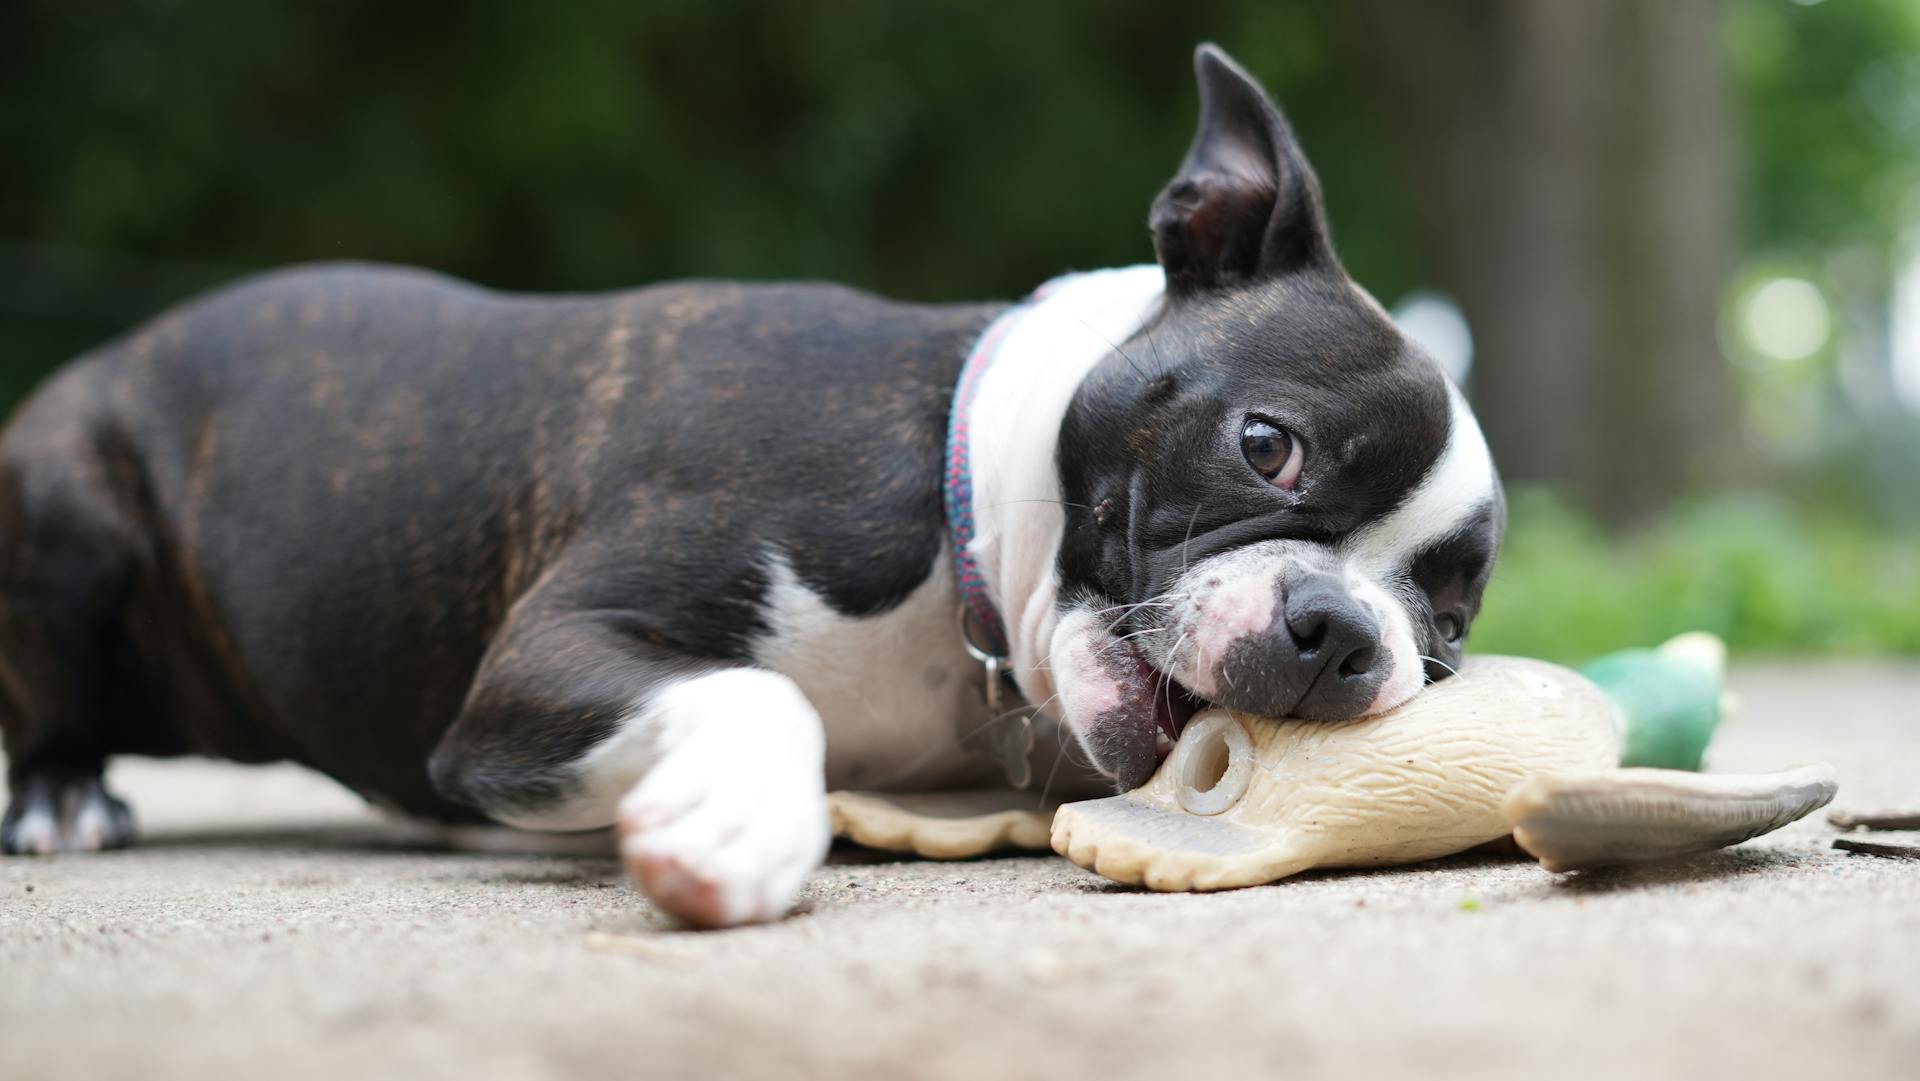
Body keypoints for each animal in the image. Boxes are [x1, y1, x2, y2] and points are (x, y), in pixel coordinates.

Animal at [0, 46, 1497, 925]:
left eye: (1447, 622)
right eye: (1268, 446)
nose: (1338, 632)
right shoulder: (547, 657)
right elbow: (762, 692)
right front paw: (734, 826)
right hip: (67, 511)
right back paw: (62, 796)